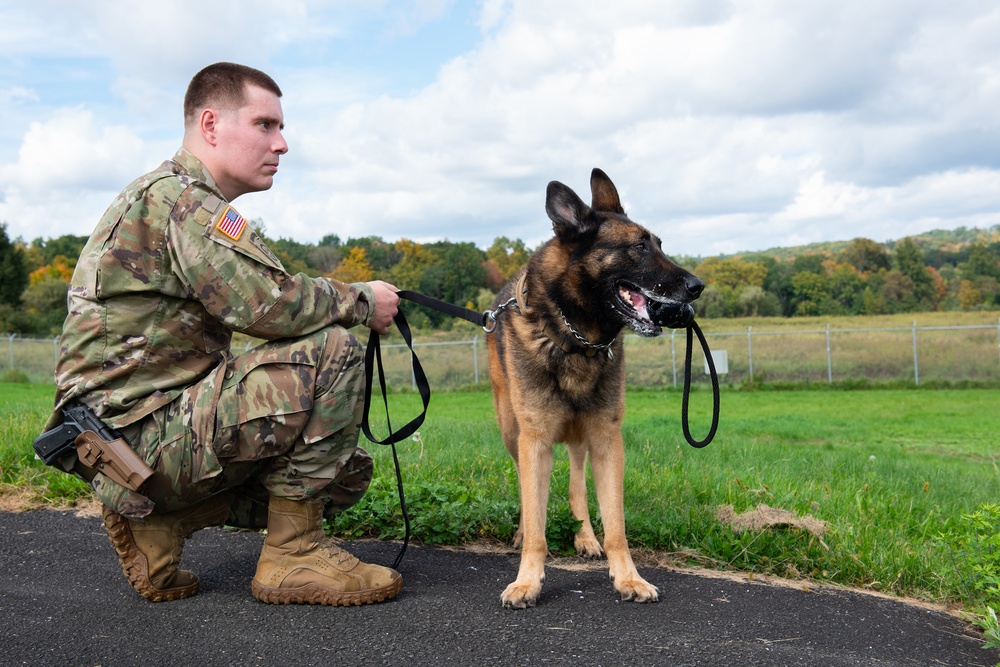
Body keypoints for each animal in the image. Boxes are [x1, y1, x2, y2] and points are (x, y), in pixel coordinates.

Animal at [484, 170, 704, 608]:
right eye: (638, 247)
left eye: (660, 244)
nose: (697, 286)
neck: (575, 340)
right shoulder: (534, 441)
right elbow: (536, 522)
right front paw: (527, 579)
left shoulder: (606, 439)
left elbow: (615, 524)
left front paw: (629, 577)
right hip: (511, 430)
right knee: (525, 489)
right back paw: (524, 531)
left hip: (579, 436)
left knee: (576, 486)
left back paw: (585, 536)